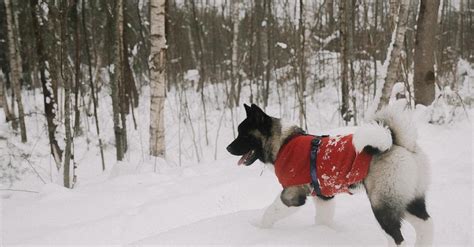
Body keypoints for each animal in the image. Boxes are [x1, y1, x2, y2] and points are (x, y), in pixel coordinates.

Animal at [227, 104, 434, 247]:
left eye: (244, 135)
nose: (228, 148)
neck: (283, 143)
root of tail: (401, 144)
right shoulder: (323, 196)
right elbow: (323, 220)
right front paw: (324, 233)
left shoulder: (292, 195)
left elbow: (270, 212)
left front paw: (260, 230)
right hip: (410, 199)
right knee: (426, 225)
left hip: (382, 204)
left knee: (397, 238)